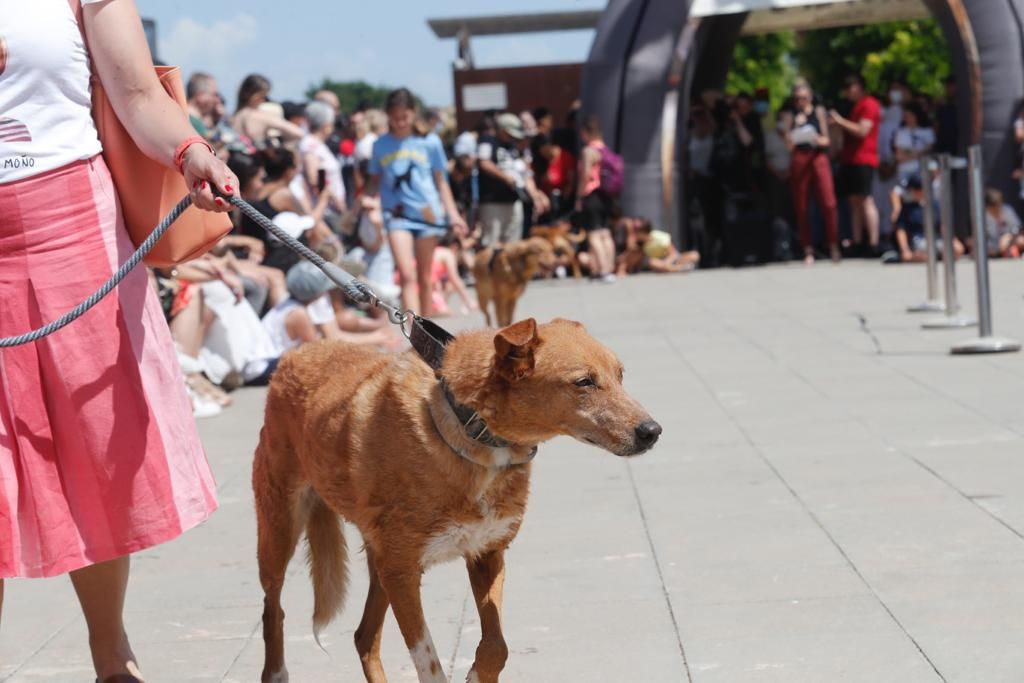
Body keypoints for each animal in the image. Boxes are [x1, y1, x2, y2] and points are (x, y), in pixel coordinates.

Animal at [251, 321, 659, 683]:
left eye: (620, 375)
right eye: (584, 382)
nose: (652, 431)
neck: (469, 429)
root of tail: (298, 353)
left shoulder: (485, 554)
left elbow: (497, 646)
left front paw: (479, 672)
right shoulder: (403, 572)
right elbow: (428, 662)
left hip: (379, 564)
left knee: (364, 637)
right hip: (279, 532)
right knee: (273, 611)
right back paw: (275, 671)